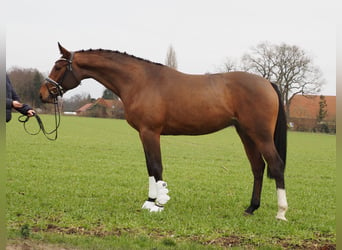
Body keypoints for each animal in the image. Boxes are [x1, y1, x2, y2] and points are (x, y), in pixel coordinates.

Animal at [38, 43, 288, 221]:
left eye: (59, 67)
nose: (43, 93)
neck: (140, 81)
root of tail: (267, 83)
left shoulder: (150, 132)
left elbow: (156, 166)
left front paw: (158, 202)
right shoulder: (143, 133)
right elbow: (150, 167)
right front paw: (150, 201)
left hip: (260, 135)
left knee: (275, 165)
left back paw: (281, 213)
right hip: (246, 134)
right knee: (258, 167)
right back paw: (251, 208)